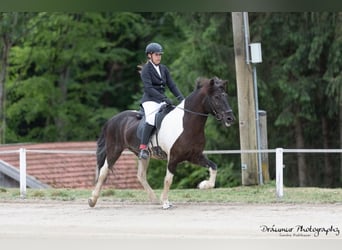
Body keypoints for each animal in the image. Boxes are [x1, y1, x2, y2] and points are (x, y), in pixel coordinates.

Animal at [88, 76, 235, 209]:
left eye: (226, 96)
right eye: (216, 97)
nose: (230, 118)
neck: (187, 124)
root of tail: (112, 119)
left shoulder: (195, 156)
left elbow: (214, 167)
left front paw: (203, 185)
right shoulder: (173, 158)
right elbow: (168, 180)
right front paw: (165, 202)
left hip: (143, 155)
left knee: (141, 175)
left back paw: (154, 199)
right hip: (114, 150)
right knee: (104, 171)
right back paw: (92, 200)